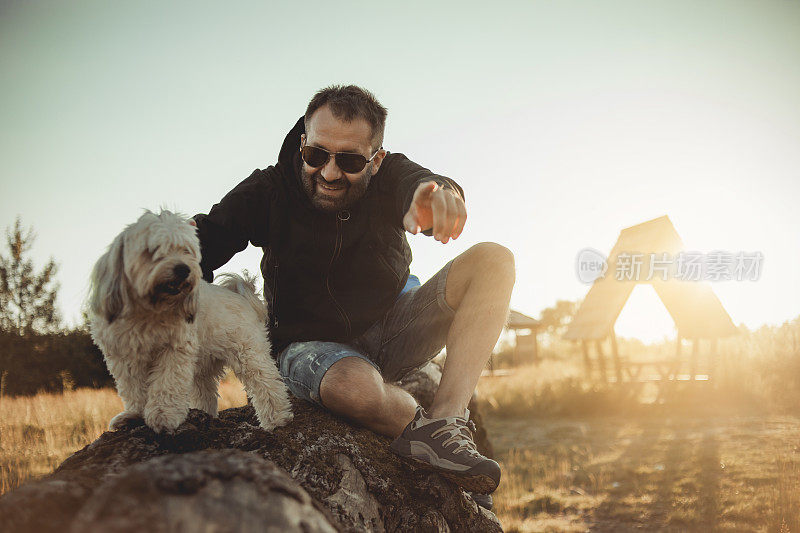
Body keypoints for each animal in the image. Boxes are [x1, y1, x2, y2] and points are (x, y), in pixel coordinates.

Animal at [88, 209, 294, 432]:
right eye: (154, 250)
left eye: (186, 250)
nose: (183, 269)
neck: (149, 310)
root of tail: (240, 294)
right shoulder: (124, 355)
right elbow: (134, 388)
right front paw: (134, 414)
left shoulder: (174, 351)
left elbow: (167, 383)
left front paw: (163, 415)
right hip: (203, 363)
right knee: (206, 392)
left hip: (248, 352)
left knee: (267, 383)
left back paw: (277, 418)